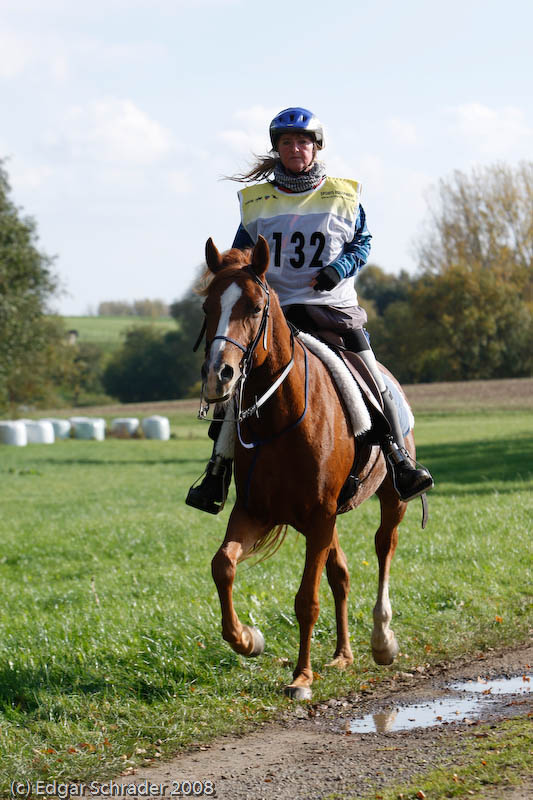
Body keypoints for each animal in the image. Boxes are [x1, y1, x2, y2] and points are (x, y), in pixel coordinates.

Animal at [198, 234, 408, 696]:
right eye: (207, 307)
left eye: (254, 307)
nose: (219, 375)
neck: (280, 417)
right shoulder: (256, 511)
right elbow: (223, 565)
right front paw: (248, 639)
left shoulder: (319, 515)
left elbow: (306, 600)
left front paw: (301, 676)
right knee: (341, 573)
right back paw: (343, 654)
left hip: (390, 499)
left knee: (384, 546)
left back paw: (382, 640)